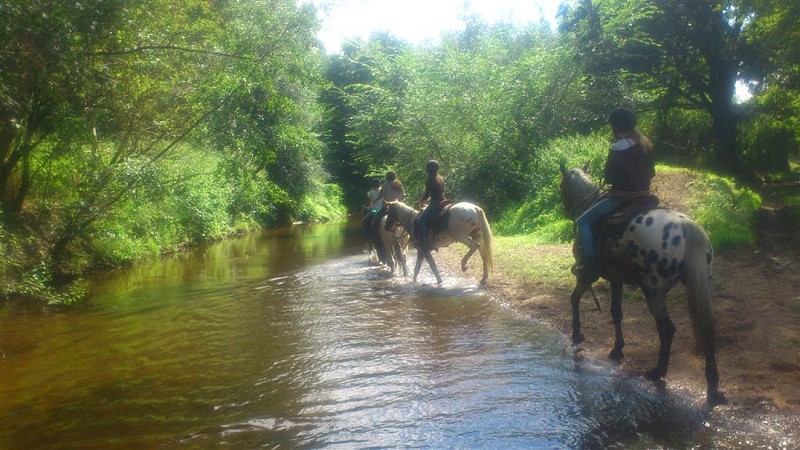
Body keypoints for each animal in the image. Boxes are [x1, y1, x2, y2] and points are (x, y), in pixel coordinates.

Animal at [559, 164, 724, 405]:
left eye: (562, 186)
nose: (566, 209)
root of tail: (688, 228)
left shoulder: (587, 275)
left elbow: (575, 298)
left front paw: (577, 333)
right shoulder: (615, 278)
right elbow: (616, 312)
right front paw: (617, 349)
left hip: (653, 290)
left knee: (666, 329)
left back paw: (658, 372)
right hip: (699, 284)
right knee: (705, 331)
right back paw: (713, 388)